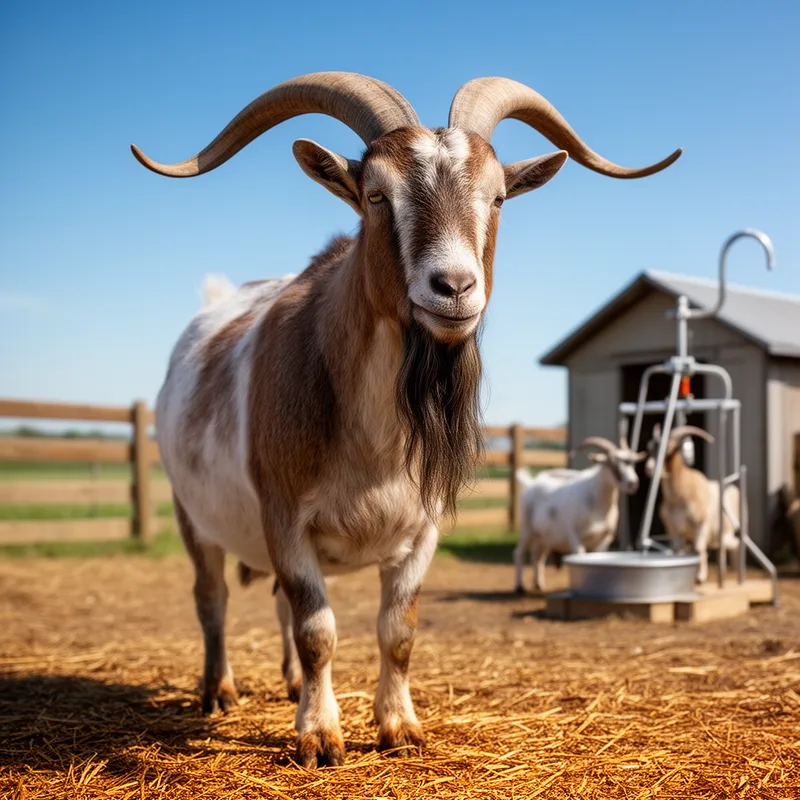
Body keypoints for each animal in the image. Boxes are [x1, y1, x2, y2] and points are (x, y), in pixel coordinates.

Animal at [514, 435, 646, 593]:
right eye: (611, 464)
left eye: (632, 463)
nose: (633, 483)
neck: (597, 504)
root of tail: (531, 483)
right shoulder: (575, 536)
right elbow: (580, 557)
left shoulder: (605, 539)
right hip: (527, 529)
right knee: (519, 552)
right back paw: (520, 586)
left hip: (544, 537)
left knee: (537, 555)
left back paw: (539, 584)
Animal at [644, 424, 740, 583]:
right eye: (650, 448)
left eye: (668, 449)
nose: (649, 468)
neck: (678, 497)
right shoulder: (674, 530)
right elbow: (678, 552)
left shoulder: (700, 524)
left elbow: (698, 549)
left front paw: (700, 577)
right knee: (722, 549)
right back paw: (723, 572)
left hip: (729, 530)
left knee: (734, 545)